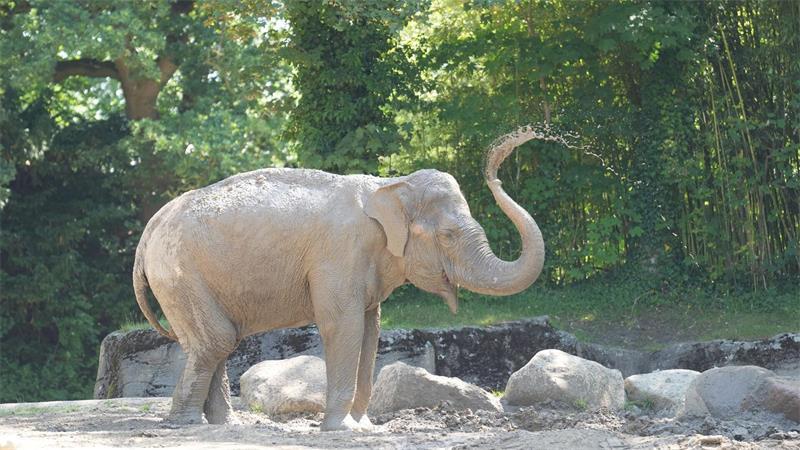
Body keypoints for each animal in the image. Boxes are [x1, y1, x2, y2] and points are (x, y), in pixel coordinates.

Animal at [133, 127, 545, 430]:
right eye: (447, 235)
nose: (511, 146)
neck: (389, 187)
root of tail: (150, 228)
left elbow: (370, 331)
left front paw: (362, 428)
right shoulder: (340, 254)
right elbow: (343, 326)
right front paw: (342, 430)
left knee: (217, 340)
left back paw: (222, 425)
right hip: (179, 273)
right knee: (216, 340)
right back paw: (185, 425)